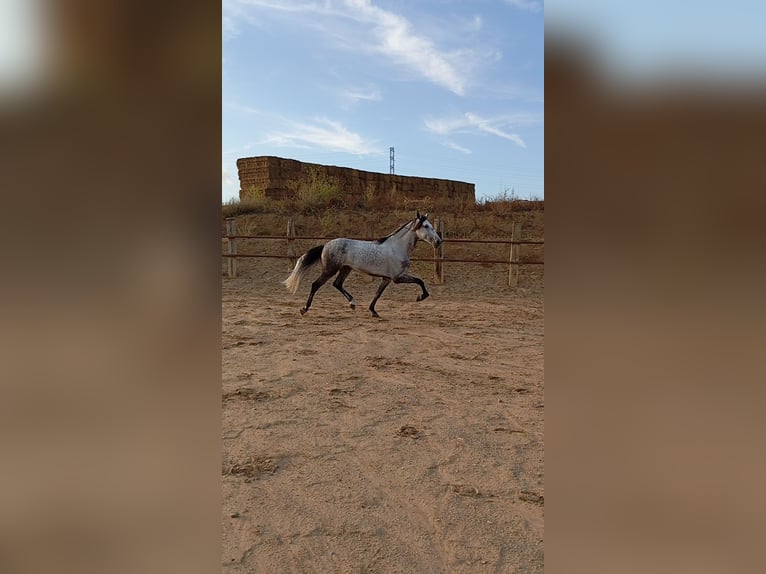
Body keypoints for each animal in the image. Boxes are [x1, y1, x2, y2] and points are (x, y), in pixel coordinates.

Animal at [284, 213, 444, 320]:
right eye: (426, 226)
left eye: (431, 226)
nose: (439, 241)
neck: (397, 248)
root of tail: (326, 245)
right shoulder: (397, 278)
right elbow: (420, 281)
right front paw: (420, 297)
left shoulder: (386, 278)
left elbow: (377, 294)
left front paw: (373, 311)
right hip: (330, 270)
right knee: (315, 285)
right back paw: (304, 309)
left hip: (345, 269)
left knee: (337, 284)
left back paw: (352, 303)